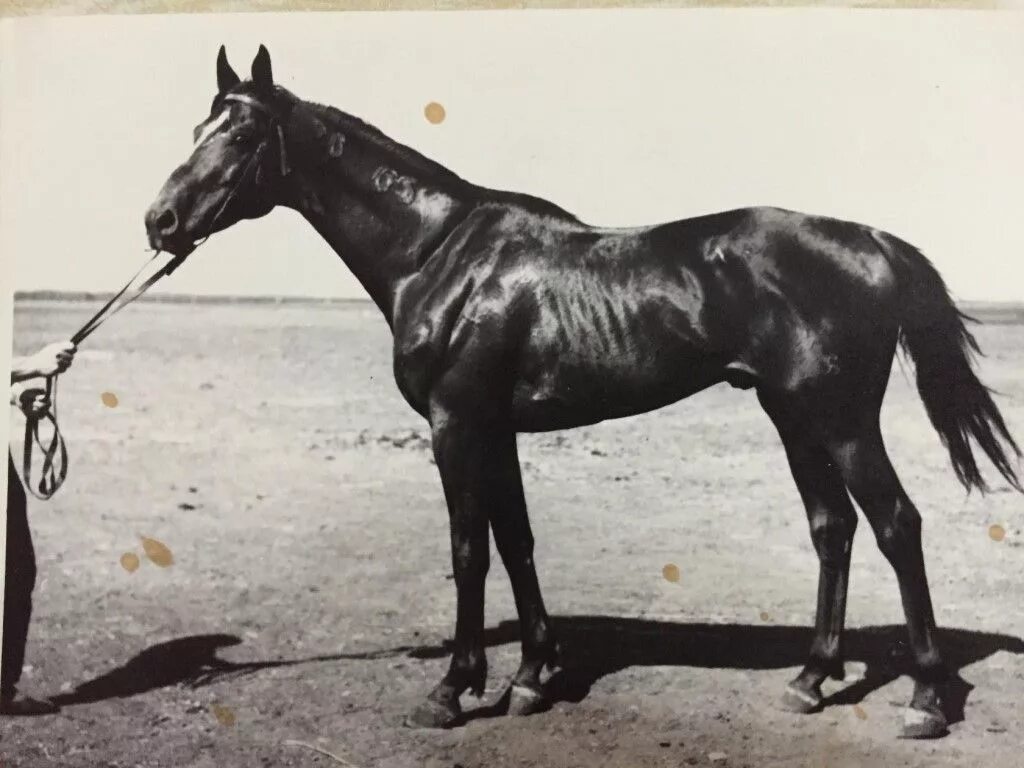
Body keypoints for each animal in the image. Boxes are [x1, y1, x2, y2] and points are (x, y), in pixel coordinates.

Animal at [146, 46, 1024, 741]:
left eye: (241, 134)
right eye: (195, 130)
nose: (160, 221)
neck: (440, 253)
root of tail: (873, 241)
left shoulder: (455, 425)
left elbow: (467, 551)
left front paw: (451, 689)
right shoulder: (495, 429)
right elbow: (516, 541)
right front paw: (530, 677)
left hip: (840, 421)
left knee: (896, 525)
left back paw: (925, 699)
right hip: (792, 415)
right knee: (833, 528)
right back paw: (810, 681)